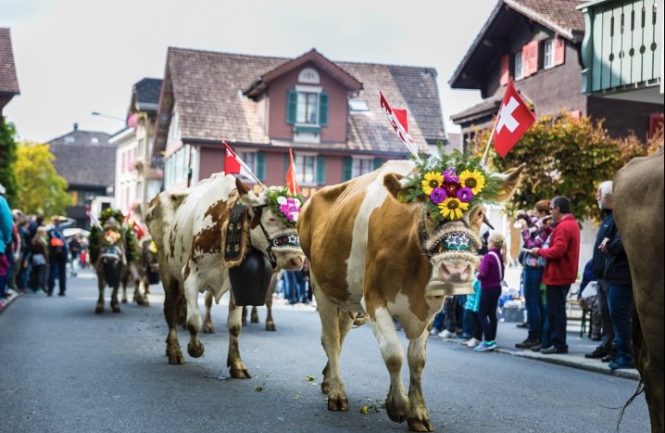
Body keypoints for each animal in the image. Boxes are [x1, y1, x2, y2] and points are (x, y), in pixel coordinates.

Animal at [145, 173, 304, 378]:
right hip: (167, 269)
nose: (298, 260)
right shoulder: (190, 276)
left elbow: (235, 325)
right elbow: (193, 320)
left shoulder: (239, 283)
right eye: (271, 219)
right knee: (171, 308)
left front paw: (237, 364)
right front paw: (195, 348)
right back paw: (174, 351)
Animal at [298, 159, 523, 432]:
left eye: (479, 213)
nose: (455, 269)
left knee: (340, 336)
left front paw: (417, 413)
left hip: (347, 297)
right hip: (321, 287)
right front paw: (398, 405)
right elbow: (393, 355)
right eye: (428, 213)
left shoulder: (429, 308)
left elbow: (417, 360)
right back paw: (337, 394)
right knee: (331, 339)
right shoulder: (374, 299)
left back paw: (328, 381)